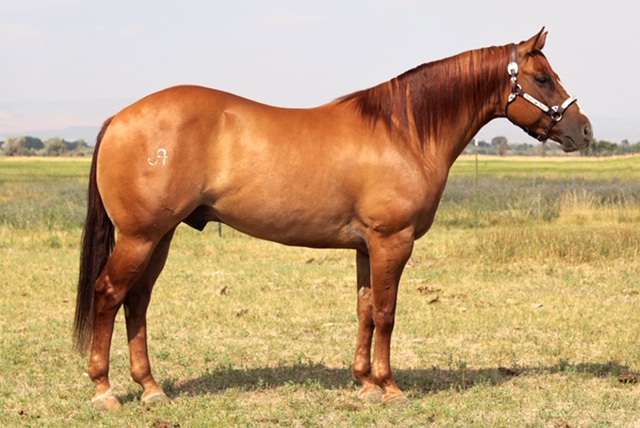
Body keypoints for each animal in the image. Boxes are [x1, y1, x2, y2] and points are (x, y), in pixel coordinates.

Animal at [74, 28, 592, 409]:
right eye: (542, 79)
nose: (583, 130)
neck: (403, 131)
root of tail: (119, 118)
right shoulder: (392, 241)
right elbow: (386, 313)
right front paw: (389, 387)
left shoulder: (367, 246)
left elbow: (365, 310)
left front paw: (364, 382)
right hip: (140, 237)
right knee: (109, 294)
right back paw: (104, 390)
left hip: (158, 237)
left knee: (137, 301)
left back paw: (151, 388)